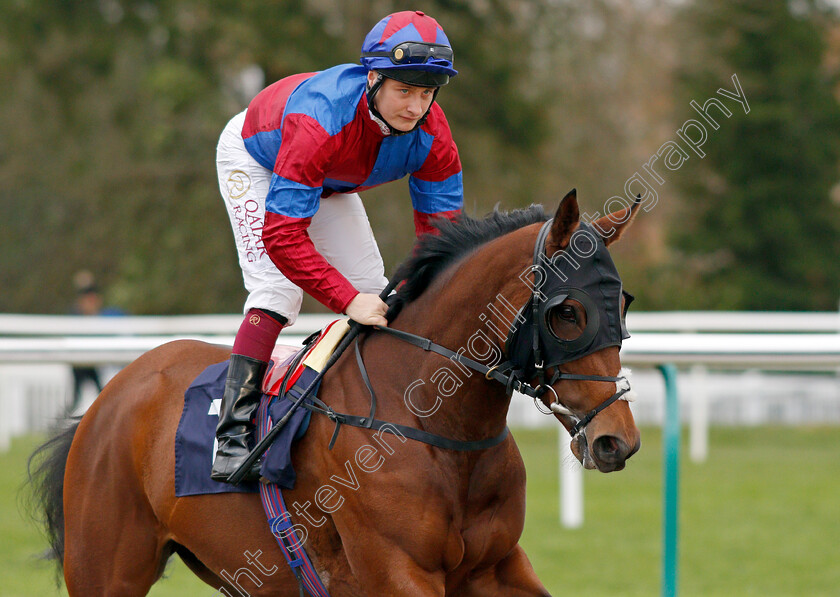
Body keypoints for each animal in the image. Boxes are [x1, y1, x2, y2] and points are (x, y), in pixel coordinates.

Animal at [29, 192, 640, 596]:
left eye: (623, 303)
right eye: (568, 313)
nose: (618, 441)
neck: (433, 425)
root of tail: (109, 397)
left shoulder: (497, 566)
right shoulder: (398, 571)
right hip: (107, 568)